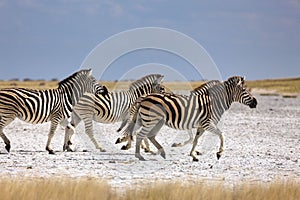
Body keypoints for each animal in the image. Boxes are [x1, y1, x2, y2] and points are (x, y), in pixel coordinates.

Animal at [122, 76, 258, 162]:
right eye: (244, 90)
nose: (255, 102)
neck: (213, 103)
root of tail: (144, 97)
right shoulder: (207, 123)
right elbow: (221, 134)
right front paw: (219, 153)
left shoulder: (201, 125)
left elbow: (195, 140)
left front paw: (193, 155)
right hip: (151, 121)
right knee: (141, 135)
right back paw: (140, 155)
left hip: (149, 121)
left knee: (146, 135)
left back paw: (158, 152)